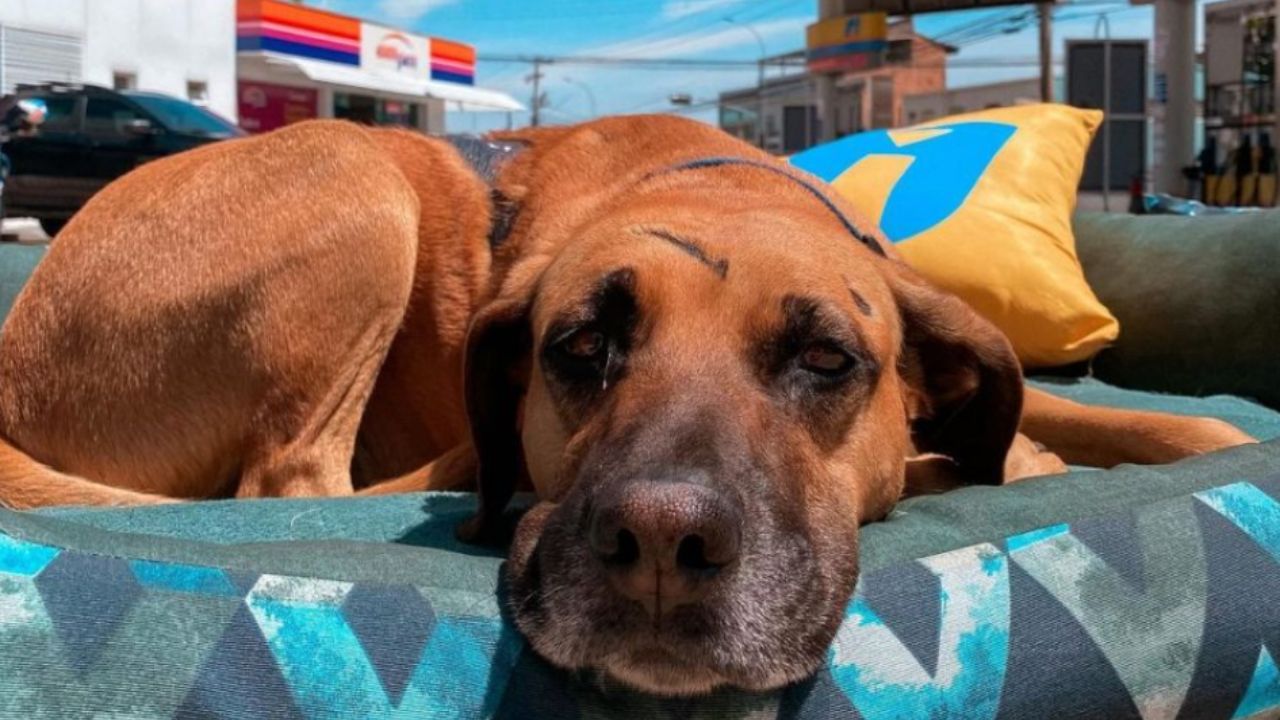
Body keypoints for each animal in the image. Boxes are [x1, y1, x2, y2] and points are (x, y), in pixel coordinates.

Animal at [0, 117, 1249, 696]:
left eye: (826, 358)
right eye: (580, 348)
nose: (659, 545)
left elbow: (1100, 415)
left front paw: (1181, 432)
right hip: (353, 170)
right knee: (294, 475)